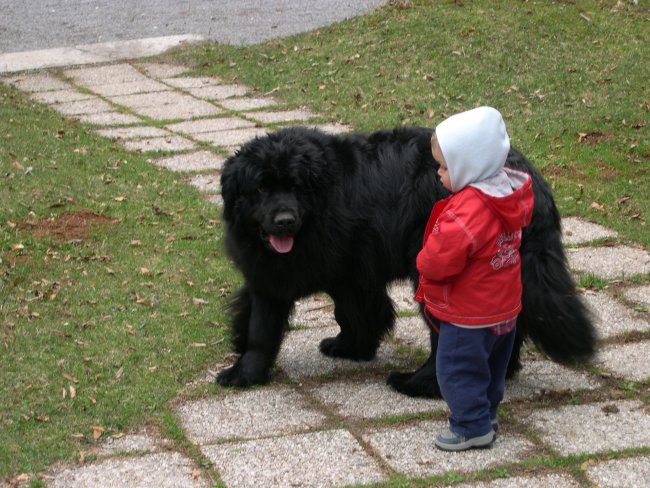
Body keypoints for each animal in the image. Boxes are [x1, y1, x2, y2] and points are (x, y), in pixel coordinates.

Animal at [215, 126, 596, 396]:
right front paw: (349, 347)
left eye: (295, 186)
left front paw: (244, 372)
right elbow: (349, 312)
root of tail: (530, 180)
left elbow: (264, 327)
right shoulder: (331, 272)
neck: (320, 203)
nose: (284, 220)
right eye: (260, 189)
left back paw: (419, 384)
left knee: (447, 335)